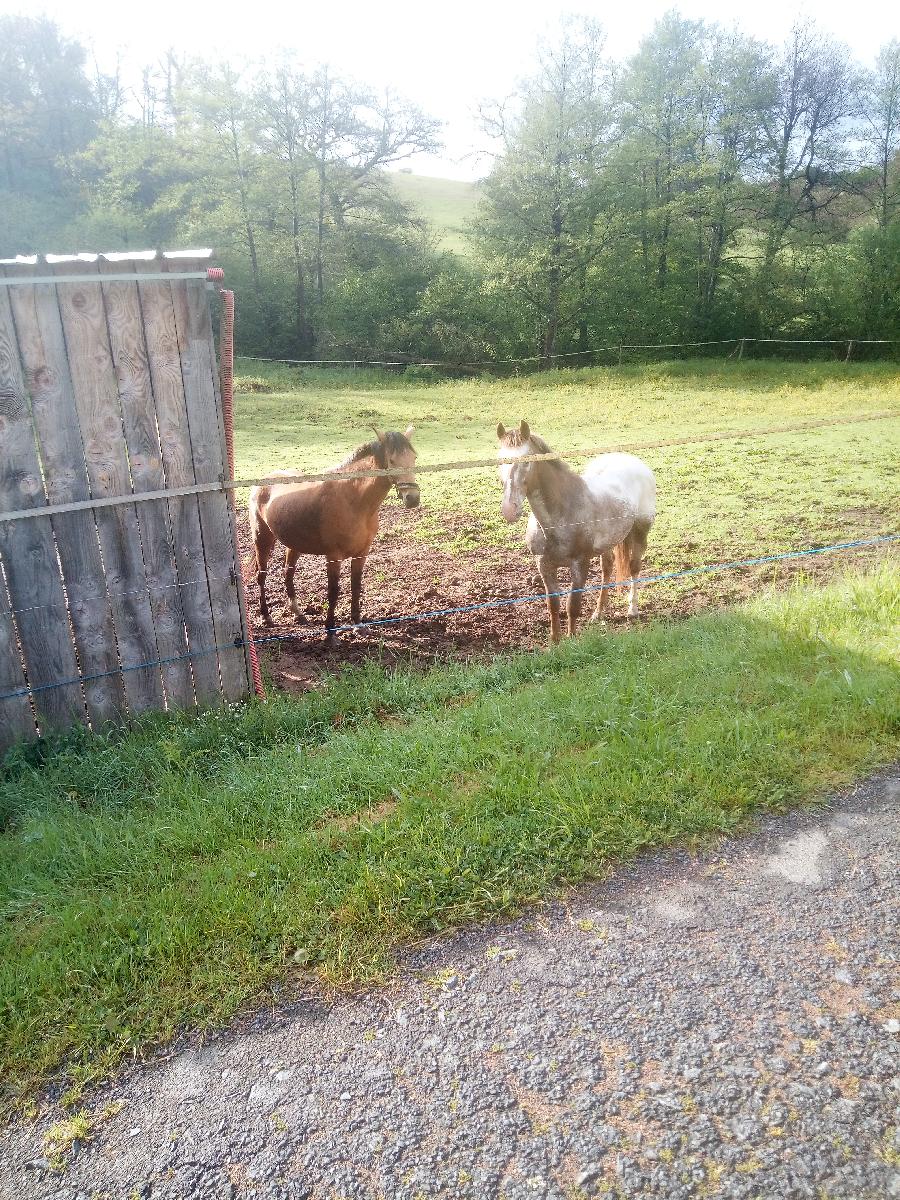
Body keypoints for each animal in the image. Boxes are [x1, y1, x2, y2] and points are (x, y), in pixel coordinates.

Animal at [250, 427, 420, 643]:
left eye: (414, 458)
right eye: (391, 460)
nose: (413, 499)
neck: (353, 500)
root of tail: (262, 482)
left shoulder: (361, 554)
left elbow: (356, 586)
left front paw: (358, 625)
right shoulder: (334, 556)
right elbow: (333, 591)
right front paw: (330, 632)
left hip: (293, 545)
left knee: (288, 574)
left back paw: (299, 615)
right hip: (262, 539)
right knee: (261, 576)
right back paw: (266, 617)